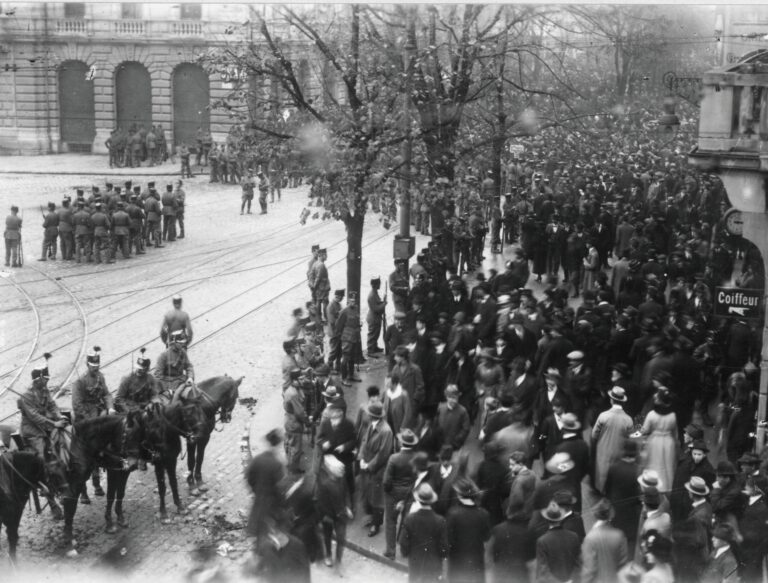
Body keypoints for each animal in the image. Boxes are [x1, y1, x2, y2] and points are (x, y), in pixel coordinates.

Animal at [60, 412, 145, 544]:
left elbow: (120, 493)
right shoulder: (113, 470)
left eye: (140, 435)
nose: (134, 464)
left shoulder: (123, 471)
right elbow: (111, 496)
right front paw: (109, 524)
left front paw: (120, 517)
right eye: (127, 435)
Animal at [143, 396, 207, 524]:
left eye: (201, 411)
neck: (164, 433)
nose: (202, 434)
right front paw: (163, 513)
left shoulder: (171, 461)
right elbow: (162, 488)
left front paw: (180, 506)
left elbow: (173, 483)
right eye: (188, 414)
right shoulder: (159, 465)